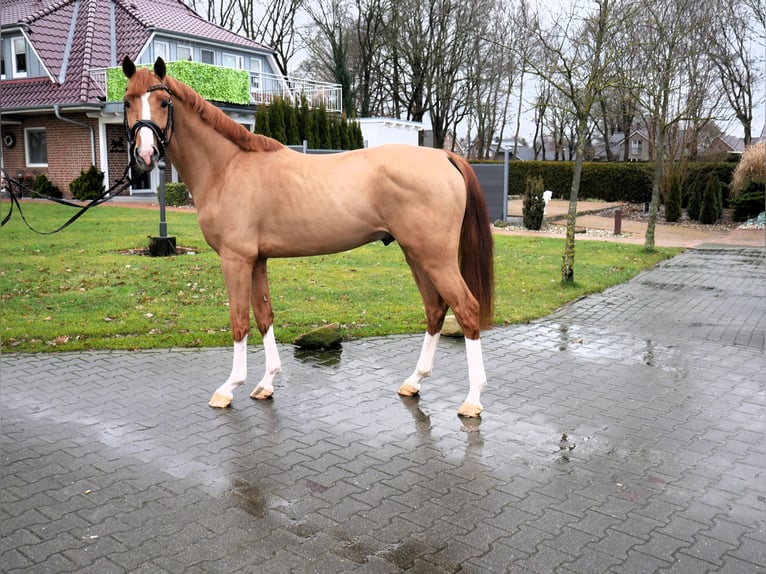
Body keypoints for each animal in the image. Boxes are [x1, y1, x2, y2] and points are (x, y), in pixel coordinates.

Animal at [120, 57, 492, 418]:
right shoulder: (257, 260)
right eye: (126, 102)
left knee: (467, 308)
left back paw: (472, 400)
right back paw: (414, 382)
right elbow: (264, 315)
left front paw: (229, 388)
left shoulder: (235, 259)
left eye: (164, 102)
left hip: (434, 256)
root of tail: (444, 156)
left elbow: (239, 320)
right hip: (415, 254)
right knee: (435, 309)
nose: (146, 155)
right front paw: (266, 383)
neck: (227, 167)